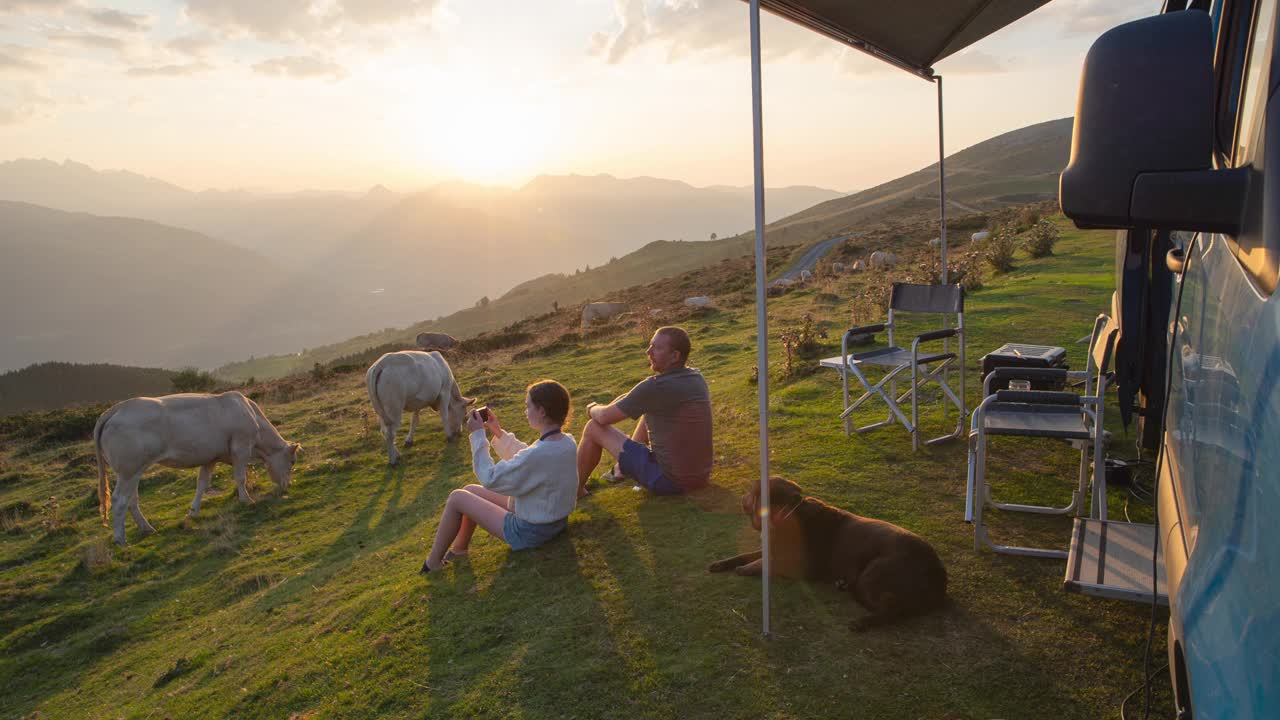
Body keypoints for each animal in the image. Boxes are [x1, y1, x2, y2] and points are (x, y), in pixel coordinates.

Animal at [93, 392, 300, 543]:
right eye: (292, 462)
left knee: (132, 499)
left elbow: (202, 484)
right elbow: (241, 477)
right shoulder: (241, 448)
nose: (287, 485)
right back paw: (120, 539)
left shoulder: (210, 457)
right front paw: (246, 499)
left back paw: (147, 528)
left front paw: (193, 511)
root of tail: (117, 408)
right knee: (119, 500)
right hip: (128, 470)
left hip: (134, 470)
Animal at [711, 476, 952, 622]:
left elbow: (761, 564)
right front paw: (721, 563)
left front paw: (745, 569)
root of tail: (938, 574)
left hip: (874, 570)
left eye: (751, 492)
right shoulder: (772, 549)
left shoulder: (794, 566)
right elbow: (745, 555)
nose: (741, 497)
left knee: (891, 608)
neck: (788, 516)